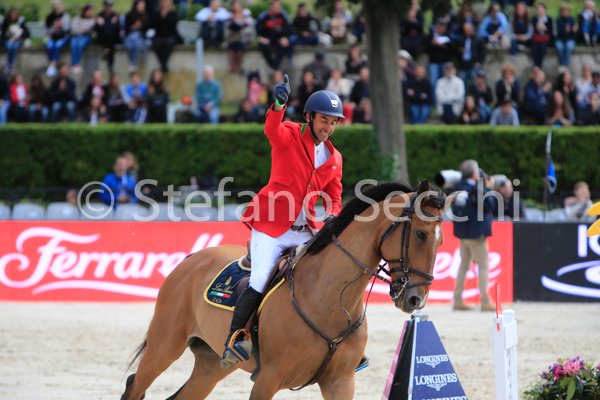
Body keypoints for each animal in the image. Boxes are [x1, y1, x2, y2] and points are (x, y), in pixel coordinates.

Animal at [121, 180, 452, 400]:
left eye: (441, 240)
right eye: (420, 234)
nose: (415, 298)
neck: (332, 299)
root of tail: (192, 258)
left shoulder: (340, 382)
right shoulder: (268, 379)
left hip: (211, 364)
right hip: (165, 347)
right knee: (136, 386)